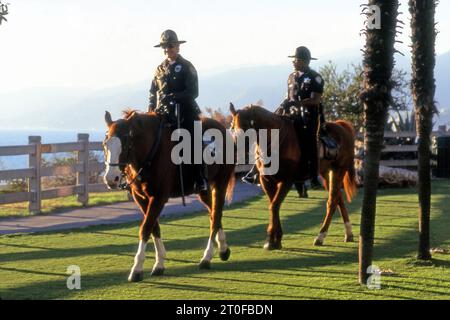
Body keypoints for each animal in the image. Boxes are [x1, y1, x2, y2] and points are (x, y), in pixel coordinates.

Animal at [102, 110, 236, 282]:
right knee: (214, 214)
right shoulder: (141, 198)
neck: (151, 152)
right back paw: (223, 248)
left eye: (126, 144)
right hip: (204, 191)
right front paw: (159, 263)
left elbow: (145, 228)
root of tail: (223, 129)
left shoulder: (158, 198)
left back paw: (206, 258)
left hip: (220, 183)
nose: (111, 179)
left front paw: (137, 269)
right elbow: (154, 228)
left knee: (216, 215)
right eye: (105, 144)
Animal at [230, 104, 356, 249]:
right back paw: (348, 233)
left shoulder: (286, 181)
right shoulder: (266, 181)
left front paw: (274, 239)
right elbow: (273, 205)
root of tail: (341, 126)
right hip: (326, 173)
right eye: (233, 127)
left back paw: (320, 236)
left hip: (338, 170)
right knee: (338, 199)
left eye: (247, 127)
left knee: (332, 201)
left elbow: (274, 206)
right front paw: (273, 239)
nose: (236, 152)